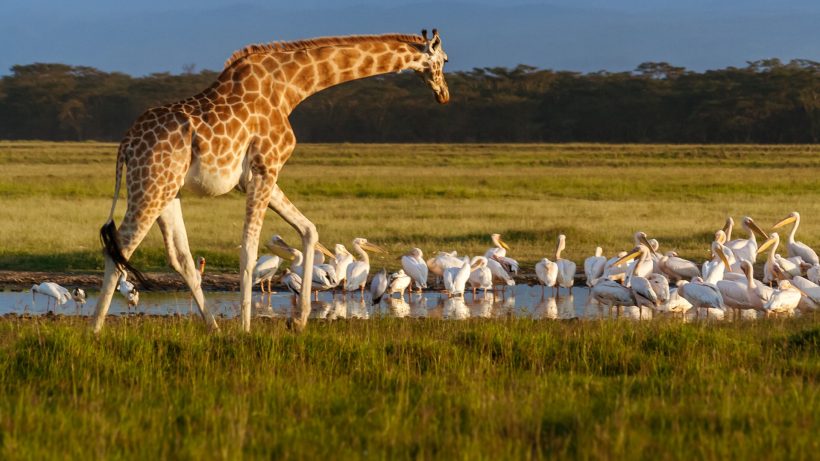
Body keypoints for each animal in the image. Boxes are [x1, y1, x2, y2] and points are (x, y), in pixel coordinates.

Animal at [92, 30, 450, 333]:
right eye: (445, 60)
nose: (444, 94)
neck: (291, 87)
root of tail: (126, 145)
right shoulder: (266, 168)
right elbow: (249, 251)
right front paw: (246, 328)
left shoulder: (258, 176)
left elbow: (309, 229)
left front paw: (299, 321)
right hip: (151, 187)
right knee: (119, 248)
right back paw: (95, 330)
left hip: (169, 192)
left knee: (180, 258)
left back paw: (214, 328)